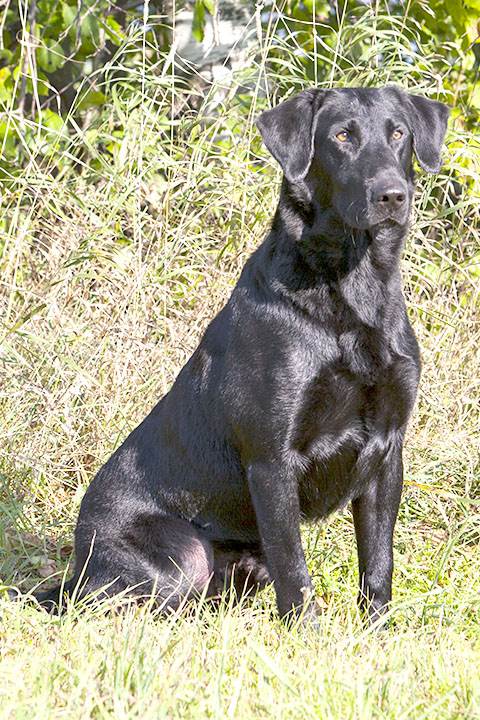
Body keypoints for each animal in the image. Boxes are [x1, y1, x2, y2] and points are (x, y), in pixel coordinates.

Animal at [26, 84, 448, 620]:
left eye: (398, 134)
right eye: (341, 136)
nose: (392, 195)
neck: (354, 289)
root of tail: (77, 571)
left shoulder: (387, 451)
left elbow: (378, 563)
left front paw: (376, 631)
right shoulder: (271, 461)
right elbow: (296, 571)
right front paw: (306, 634)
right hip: (179, 560)